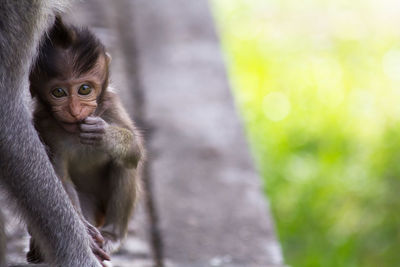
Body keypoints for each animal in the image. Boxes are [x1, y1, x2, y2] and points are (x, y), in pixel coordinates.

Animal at [28, 16, 144, 264]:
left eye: (84, 89)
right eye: (59, 92)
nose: (74, 110)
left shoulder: (111, 104)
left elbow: (135, 150)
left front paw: (104, 135)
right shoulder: (42, 124)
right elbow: (57, 178)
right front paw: (83, 232)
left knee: (123, 164)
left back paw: (112, 235)